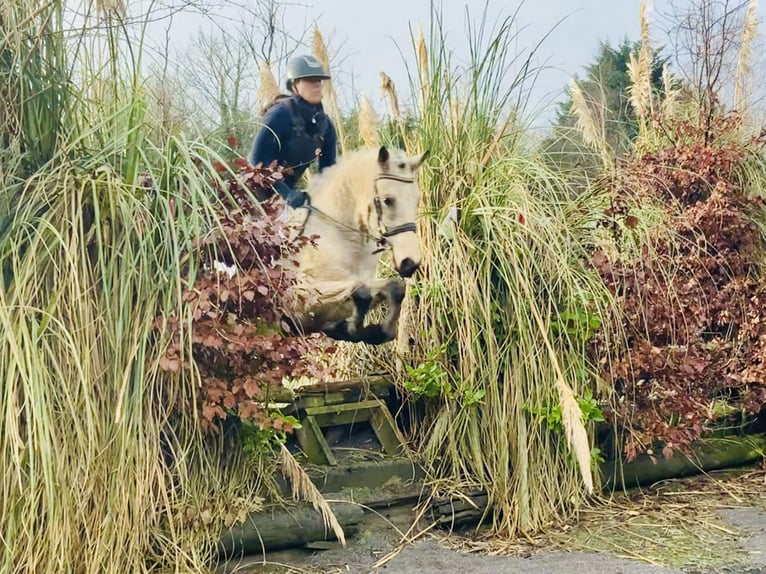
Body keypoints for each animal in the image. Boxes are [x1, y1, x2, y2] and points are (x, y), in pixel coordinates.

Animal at [284, 147, 428, 346]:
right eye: (388, 200)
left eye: (416, 200)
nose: (410, 263)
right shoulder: (302, 297)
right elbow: (362, 291)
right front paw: (354, 328)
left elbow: (394, 288)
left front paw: (375, 332)